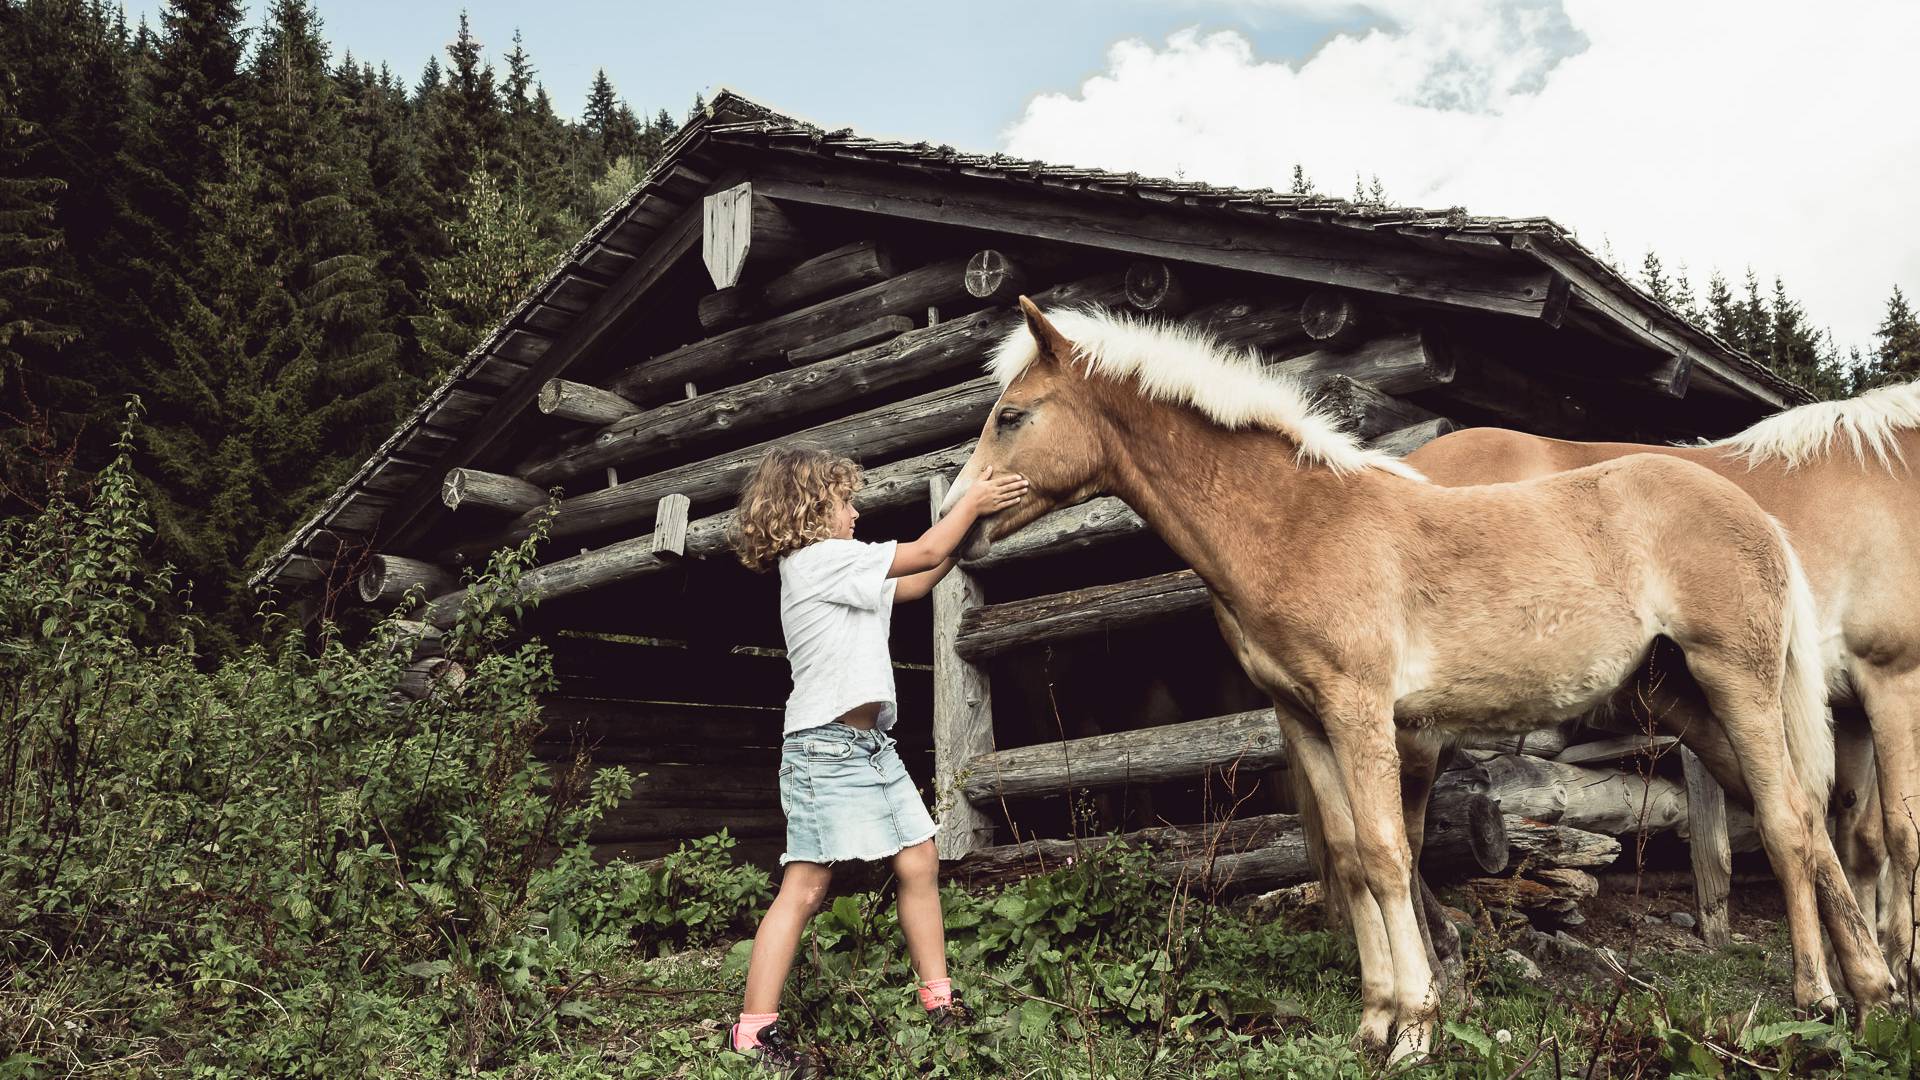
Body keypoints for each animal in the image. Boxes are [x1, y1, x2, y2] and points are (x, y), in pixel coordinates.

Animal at [1397, 388, 1920, 983]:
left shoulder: (1854, 711)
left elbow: (1861, 840)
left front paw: (1865, 966)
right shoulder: (1895, 683)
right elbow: (1903, 835)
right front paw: (1903, 967)